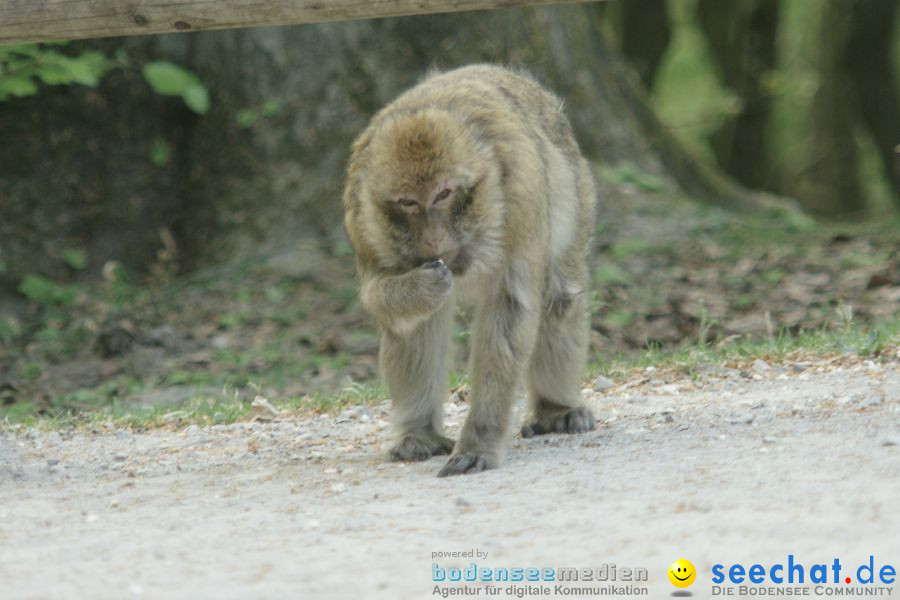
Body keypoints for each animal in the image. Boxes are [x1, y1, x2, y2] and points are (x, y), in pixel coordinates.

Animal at [342, 64, 596, 478]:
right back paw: (420, 434)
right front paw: (421, 288)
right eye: (408, 202)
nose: (434, 236)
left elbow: (510, 309)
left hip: (574, 185)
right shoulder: (361, 209)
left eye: (444, 194)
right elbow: (381, 300)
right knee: (419, 325)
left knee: (560, 296)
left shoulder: (521, 196)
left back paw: (555, 407)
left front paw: (479, 441)